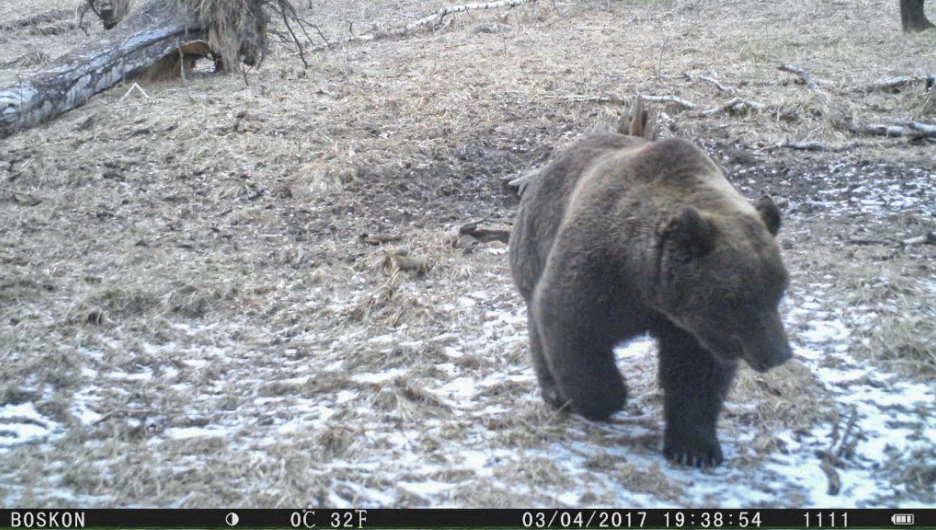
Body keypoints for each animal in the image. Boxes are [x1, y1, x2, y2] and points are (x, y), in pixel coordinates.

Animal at [508, 99, 792, 466]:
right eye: (739, 299)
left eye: (778, 291)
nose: (779, 353)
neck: (646, 283)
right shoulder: (599, 270)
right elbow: (571, 325)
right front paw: (605, 398)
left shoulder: (694, 326)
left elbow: (696, 373)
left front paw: (695, 448)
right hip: (534, 244)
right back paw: (556, 393)